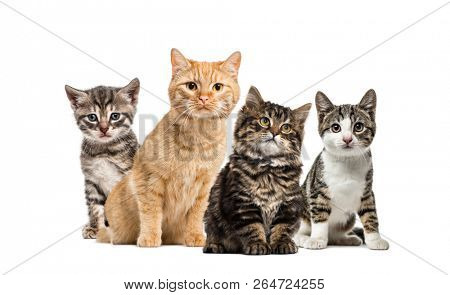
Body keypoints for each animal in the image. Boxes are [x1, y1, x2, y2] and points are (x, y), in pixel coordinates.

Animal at [64, 79, 140, 240]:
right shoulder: (91, 180)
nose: (104, 129)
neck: (104, 151)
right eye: (92, 117)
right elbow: (95, 207)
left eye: (115, 116)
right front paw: (95, 228)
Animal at [97, 48, 241, 247]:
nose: (204, 98)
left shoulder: (205, 185)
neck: (198, 137)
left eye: (217, 87)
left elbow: (196, 214)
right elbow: (151, 211)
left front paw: (195, 236)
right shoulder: (148, 178)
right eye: (191, 86)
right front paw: (149, 236)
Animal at [203, 85, 312, 254]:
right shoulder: (242, 203)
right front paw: (258, 244)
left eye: (286, 128)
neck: (268, 169)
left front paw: (283, 243)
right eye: (265, 121)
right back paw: (214, 245)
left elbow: (283, 228)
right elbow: (252, 228)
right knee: (212, 233)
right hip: (211, 215)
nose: (275, 132)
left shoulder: (289, 205)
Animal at [294, 89, 388, 250]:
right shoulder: (317, 189)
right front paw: (317, 239)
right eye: (336, 127)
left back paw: (347, 239)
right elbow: (319, 215)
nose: (347, 139)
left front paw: (375, 240)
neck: (347, 162)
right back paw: (302, 238)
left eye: (358, 127)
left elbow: (370, 214)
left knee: (335, 236)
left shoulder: (367, 191)